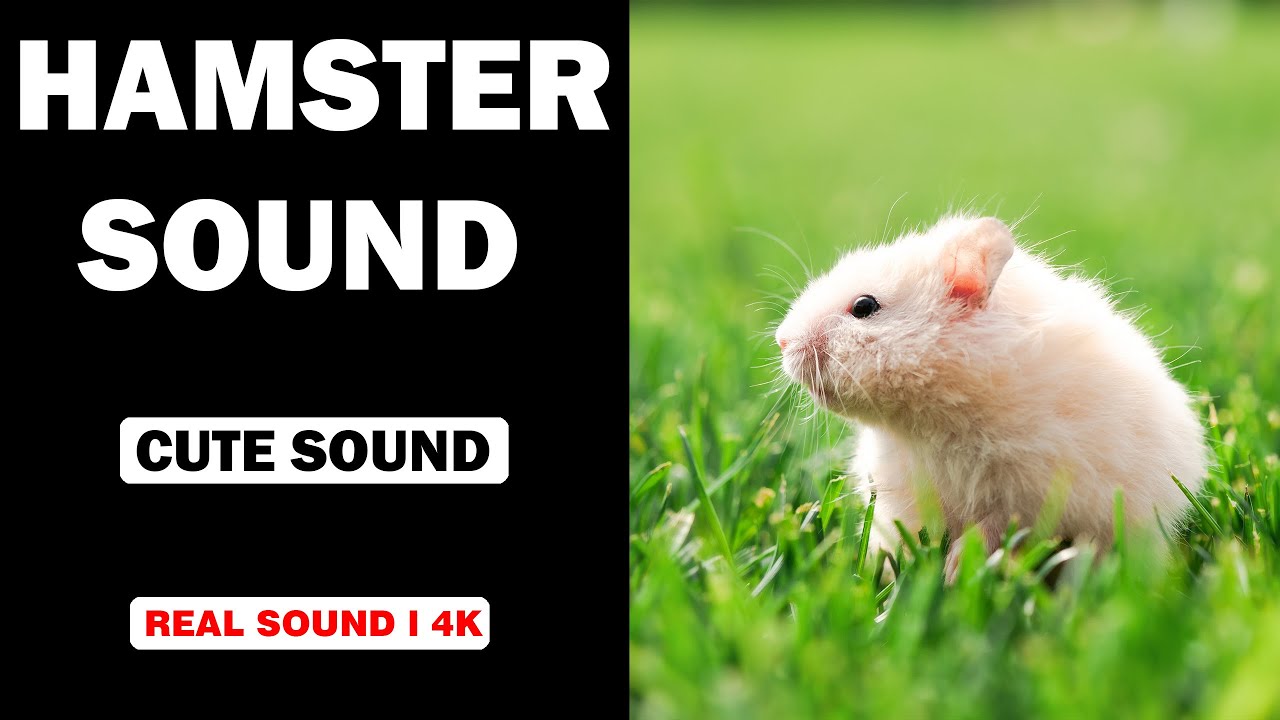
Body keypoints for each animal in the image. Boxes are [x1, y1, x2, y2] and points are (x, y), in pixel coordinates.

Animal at [774, 214, 1209, 579]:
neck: (936, 416)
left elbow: (993, 529)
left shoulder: (1032, 489)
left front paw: (954, 572)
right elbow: (903, 542)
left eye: (864, 306)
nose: (781, 341)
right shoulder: (903, 496)